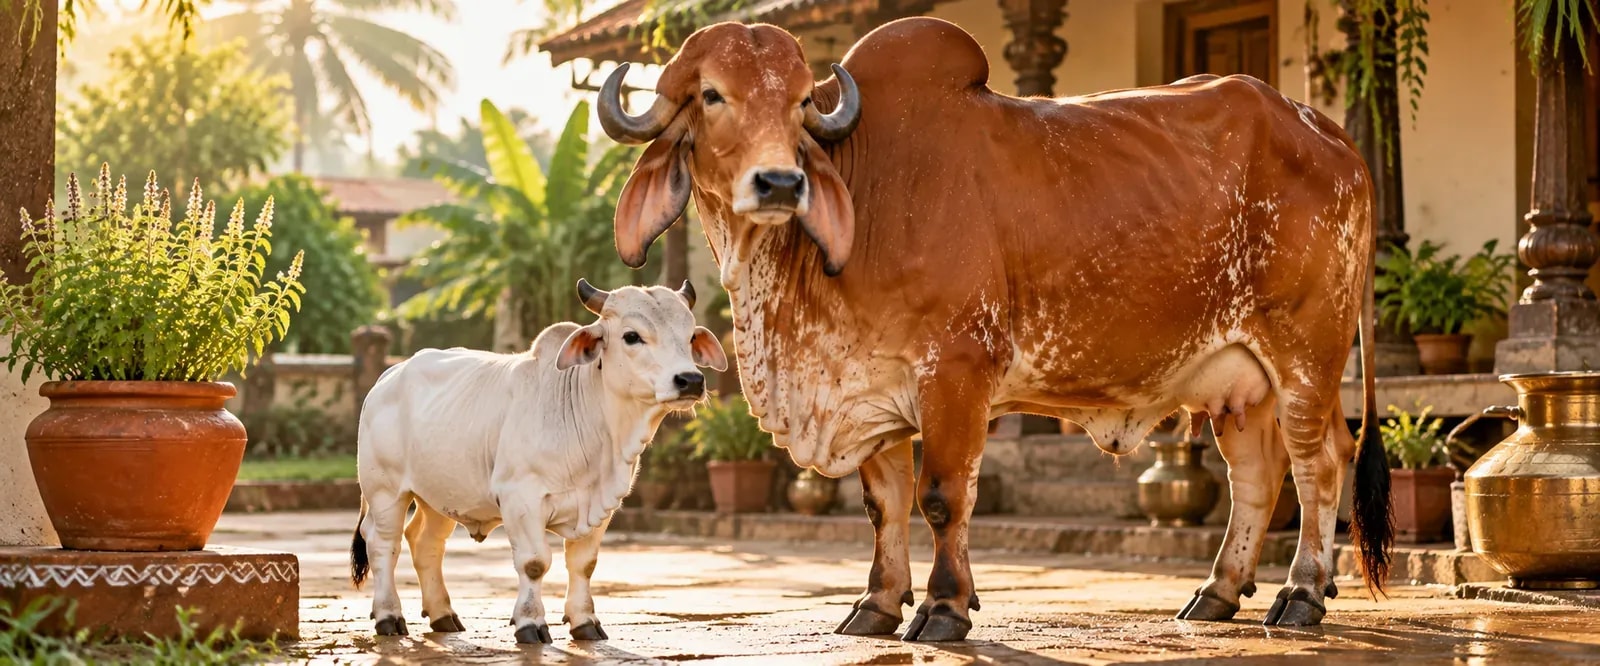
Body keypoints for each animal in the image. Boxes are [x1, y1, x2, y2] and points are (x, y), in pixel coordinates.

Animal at [349, 279, 728, 644]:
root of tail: (387, 377)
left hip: (438, 494)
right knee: (384, 545)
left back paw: (443, 615)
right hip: (386, 492)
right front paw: (530, 624)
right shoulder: (521, 499)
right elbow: (534, 563)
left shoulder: (603, 507)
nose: (690, 380)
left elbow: (584, 564)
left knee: (425, 544)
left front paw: (585, 622)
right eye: (631, 336)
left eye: (690, 335)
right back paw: (389, 616)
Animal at [593, 16, 1392, 641]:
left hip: (1307, 355)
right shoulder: (872, 389)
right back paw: (1218, 594)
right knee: (1257, 474)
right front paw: (875, 606)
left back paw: (1301, 594)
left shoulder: (955, 374)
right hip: (1237, 378)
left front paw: (944, 609)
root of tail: (1330, 133)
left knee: (1319, 463)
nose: (781, 183)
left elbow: (942, 496)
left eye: (797, 105)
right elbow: (882, 505)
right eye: (711, 95)